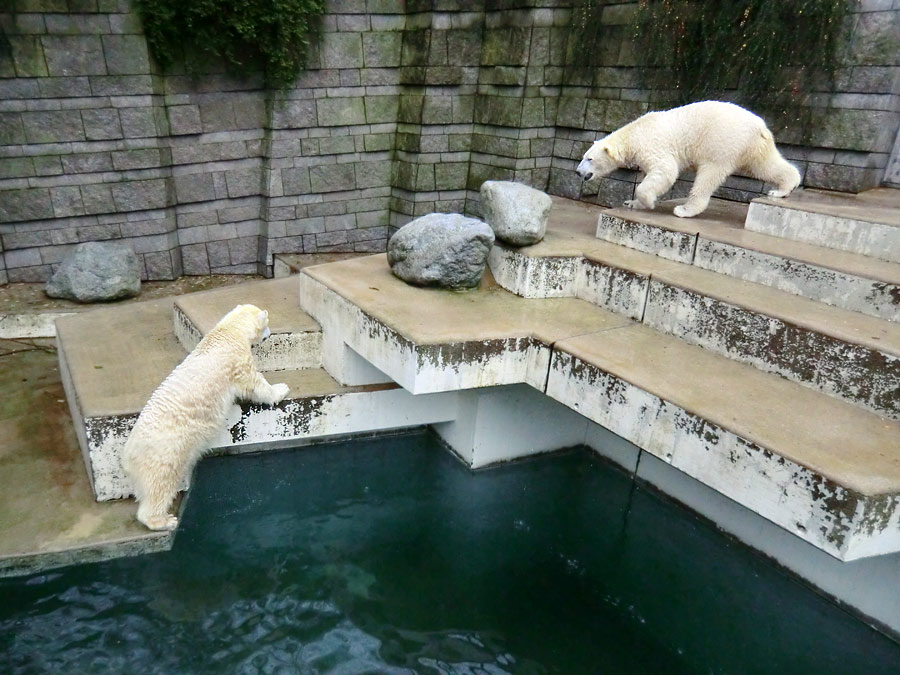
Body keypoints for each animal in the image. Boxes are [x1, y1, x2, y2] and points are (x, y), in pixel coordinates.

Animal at [121, 304, 290, 532]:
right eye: (267, 323)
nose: (269, 334)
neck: (228, 333)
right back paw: (165, 520)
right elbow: (255, 384)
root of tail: (128, 456)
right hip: (166, 453)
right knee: (161, 485)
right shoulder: (237, 362)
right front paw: (281, 389)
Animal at [572, 100, 800, 218]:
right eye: (583, 157)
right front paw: (632, 203)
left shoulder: (654, 145)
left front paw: (648, 202)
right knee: (765, 165)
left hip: (722, 142)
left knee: (708, 176)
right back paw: (782, 189)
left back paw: (685, 209)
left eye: (589, 159)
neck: (634, 133)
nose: (578, 171)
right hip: (753, 146)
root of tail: (760, 126)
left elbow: (665, 171)